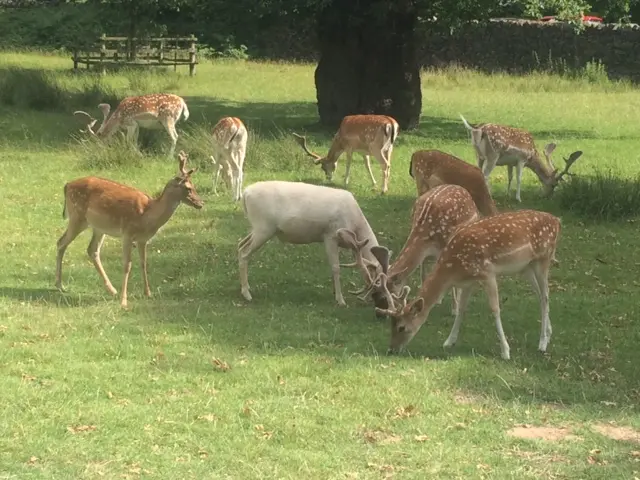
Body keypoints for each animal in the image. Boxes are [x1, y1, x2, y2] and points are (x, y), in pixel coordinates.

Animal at [57, 150, 204, 308]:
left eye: (194, 185)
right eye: (188, 188)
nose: (201, 203)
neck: (148, 215)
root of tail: (67, 185)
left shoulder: (143, 239)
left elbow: (144, 263)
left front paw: (148, 293)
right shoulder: (127, 233)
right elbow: (127, 265)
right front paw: (124, 301)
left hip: (98, 227)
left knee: (92, 250)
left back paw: (111, 290)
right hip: (77, 217)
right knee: (61, 242)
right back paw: (59, 285)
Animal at [238, 180, 392, 308]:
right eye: (378, 285)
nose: (381, 305)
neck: (355, 224)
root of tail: (245, 193)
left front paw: (334, 292)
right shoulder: (330, 235)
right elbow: (336, 267)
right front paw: (340, 300)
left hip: (257, 229)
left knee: (240, 245)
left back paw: (247, 287)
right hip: (264, 228)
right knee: (245, 253)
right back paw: (246, 294)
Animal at [350, 186, 480, 316]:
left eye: (387, 295)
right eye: (374, 295)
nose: (379, 314)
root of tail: (461, 188)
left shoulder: (446, 245)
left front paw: (455, 309)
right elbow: (424, 275)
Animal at [378, 210, 564, 360]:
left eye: (401, 327)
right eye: (391, 326)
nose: (391, 349)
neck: (453, 268)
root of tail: (556, 220)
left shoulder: (487, 273)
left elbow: (495, 309)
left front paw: (505, 351)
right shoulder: (468, 282)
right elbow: (461, 309)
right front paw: (449, 341)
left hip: (543, 259)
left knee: (545, 297)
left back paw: (542, 344)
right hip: (527, 267)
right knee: (540, 295)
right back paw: (549, 333)